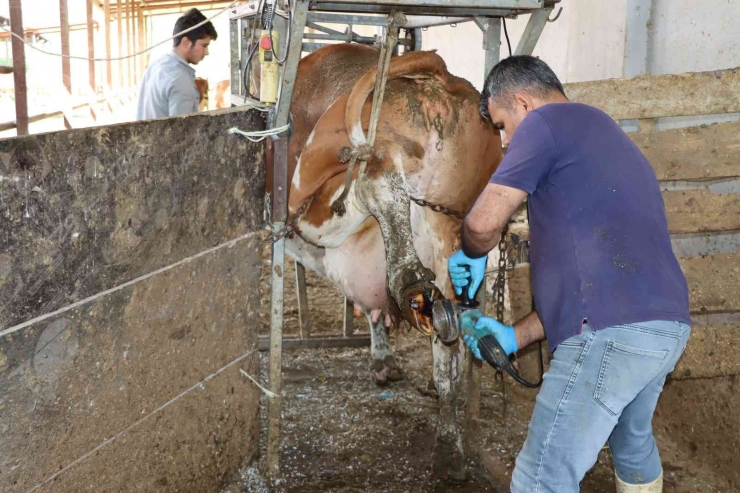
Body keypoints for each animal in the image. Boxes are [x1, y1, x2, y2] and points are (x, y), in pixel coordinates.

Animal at [284, 43, 502, 480]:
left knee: (373, 179)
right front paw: (384, 359)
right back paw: (449, 449)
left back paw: (411, 281)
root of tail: (441, 81)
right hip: (453, 229)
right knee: (447, 352)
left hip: (309, 195)